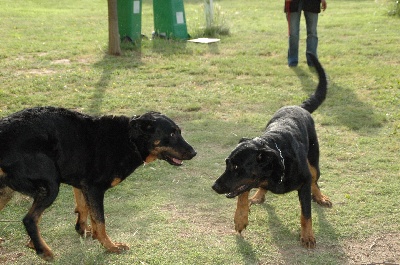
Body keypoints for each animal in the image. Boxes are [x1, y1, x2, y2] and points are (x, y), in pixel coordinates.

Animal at [0, 106, 195, 258]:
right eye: (171, 133)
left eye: (179, 131)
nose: (194, 153)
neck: (129, 139)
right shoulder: (95, 188)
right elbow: (100, 221)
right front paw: (111, 247)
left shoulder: (82, 185)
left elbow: (84, 209)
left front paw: (83, 230)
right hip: (50, 187)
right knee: (30, 219)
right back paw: (44, 251)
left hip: (6, 192)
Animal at [214, 53, 332, 248]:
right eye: (227, 164)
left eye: (237, 167)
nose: (214, 186)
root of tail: (299, 106)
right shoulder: (246, 183)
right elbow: (242, 194)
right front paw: (240, 218)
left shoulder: (304, 183)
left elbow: (306, 214)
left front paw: (307, 236)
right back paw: (259, 194)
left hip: (314, 160)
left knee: (315, 179)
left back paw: (320, 197)